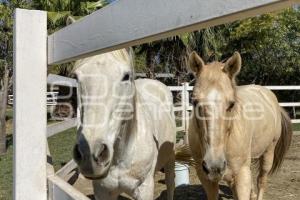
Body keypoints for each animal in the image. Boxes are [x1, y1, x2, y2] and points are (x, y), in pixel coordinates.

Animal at [72, 48, 176, 200]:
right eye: (75, 77)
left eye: (126, 76)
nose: (88, 154)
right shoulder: (102, 191)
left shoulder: (144, 189)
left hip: (170, 157)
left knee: (170, 183)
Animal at [189, 52, 292, 200]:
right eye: (194, 102)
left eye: (231, 104)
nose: (214, 166)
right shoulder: (205, 177)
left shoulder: (242, 175)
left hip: (268, 152)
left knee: (261, 180)